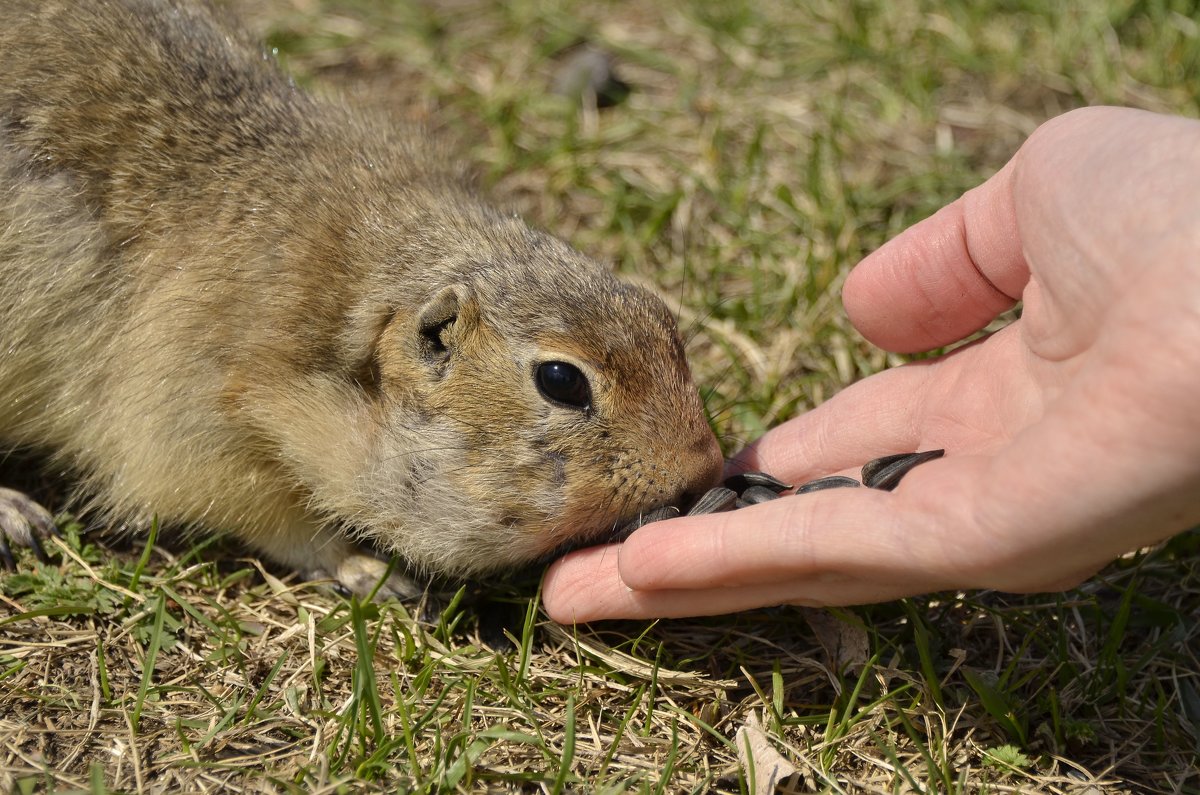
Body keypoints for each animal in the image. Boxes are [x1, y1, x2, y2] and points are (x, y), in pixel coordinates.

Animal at [0, 0, 720, 598]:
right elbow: (253, 508)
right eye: (561, 380)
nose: (706, 468)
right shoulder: (190, 401)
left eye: (663, 320)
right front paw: (368, 568)